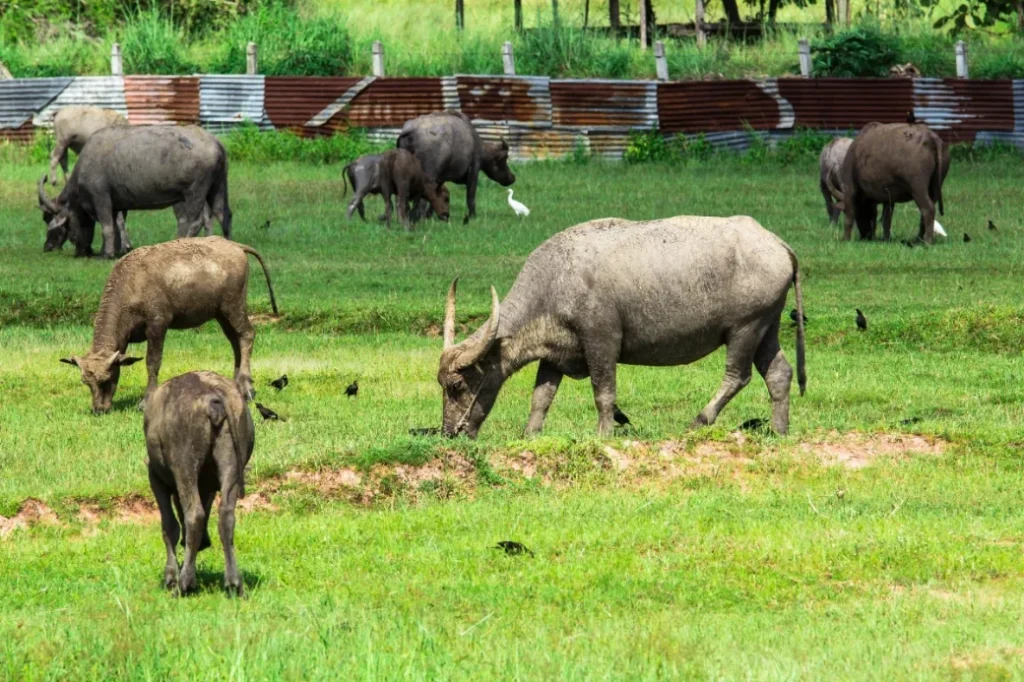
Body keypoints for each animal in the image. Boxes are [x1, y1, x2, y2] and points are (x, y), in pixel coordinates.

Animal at [38, 124, 232, 258]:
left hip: (194, 192)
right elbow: (116, 226)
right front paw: (115, 250)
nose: (47, 247)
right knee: (223, 214)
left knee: (192, 220)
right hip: (217, 187)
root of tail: (216, 142)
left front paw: (106, 254)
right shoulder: (116, 205)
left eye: (52, 222)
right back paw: (229, 245)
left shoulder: (101, 198)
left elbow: (107, 226)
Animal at [61, 236, 278, 411]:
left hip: (233, 305)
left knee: (247, 335)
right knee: (235, 341)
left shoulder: (157, 325)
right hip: (220, 314)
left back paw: (247, 388)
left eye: (106, 379)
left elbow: (152, 362)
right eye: (86, 382)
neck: (131, 285)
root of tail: (236, 246)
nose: (99, 409)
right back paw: (236, 385)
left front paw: (146, 400)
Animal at [144, 366, 253, 593]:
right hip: (231, 462)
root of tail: (213, 395)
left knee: (194, 515)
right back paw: (233, 582)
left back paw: (184, 583)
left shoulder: (155, 478)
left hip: (184, 464)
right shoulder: (209, 487)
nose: (205, 543)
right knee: (226, 516)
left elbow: (169, 526)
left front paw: (171, 575)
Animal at [436, 215, 802, 438]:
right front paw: (530, 435)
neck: (555, 280)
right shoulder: (554, 355)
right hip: (766, 328)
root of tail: (778, 245)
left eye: (457, 385)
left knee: (737, 376)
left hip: (745, 328)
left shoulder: (601, 341)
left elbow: (604, 393)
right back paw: (780, 431)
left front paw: (603, 434)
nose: (451, 432)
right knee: (779, 373)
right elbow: (541, 398)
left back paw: (698, 420)